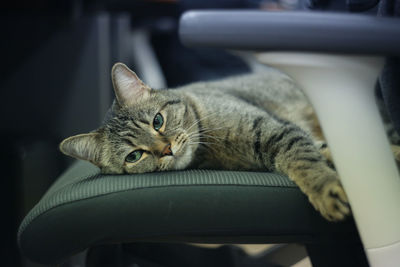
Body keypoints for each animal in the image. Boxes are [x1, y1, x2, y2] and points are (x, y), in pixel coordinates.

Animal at [59, 62, 400, 222]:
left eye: (157, 121)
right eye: (134, 156)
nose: (166, 150)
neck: (209, 149)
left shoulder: (276, 129)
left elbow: (303, 159)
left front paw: (325, 188)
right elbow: (316, 152)